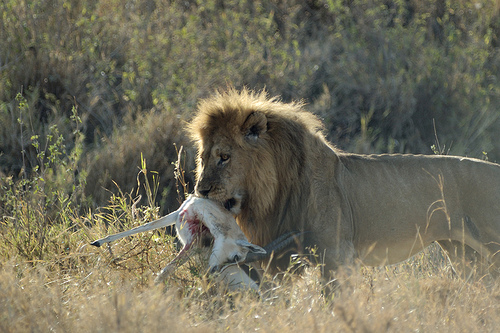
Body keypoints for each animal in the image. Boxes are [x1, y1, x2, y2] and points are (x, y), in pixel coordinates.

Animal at [188, 87, 500, 278]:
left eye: (224, 157)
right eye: (202, 158)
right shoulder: (283, 258)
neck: (276, 192)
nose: (200, 190)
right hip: (463, 253)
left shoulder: (338, 254)